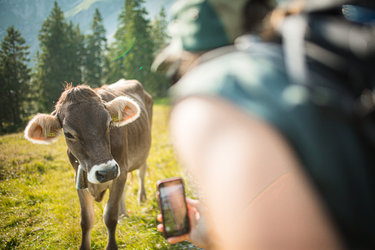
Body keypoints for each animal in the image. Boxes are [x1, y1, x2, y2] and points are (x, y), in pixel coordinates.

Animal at [23, 79, 152, 249]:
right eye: (68, 133)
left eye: (109, 123)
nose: (107, 171)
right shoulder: (79, 177)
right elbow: (86, 220)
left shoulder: (120, 170)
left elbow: (110, 216)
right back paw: (123, 213)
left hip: (142, 151)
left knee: (141, 172)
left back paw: (141, 197)